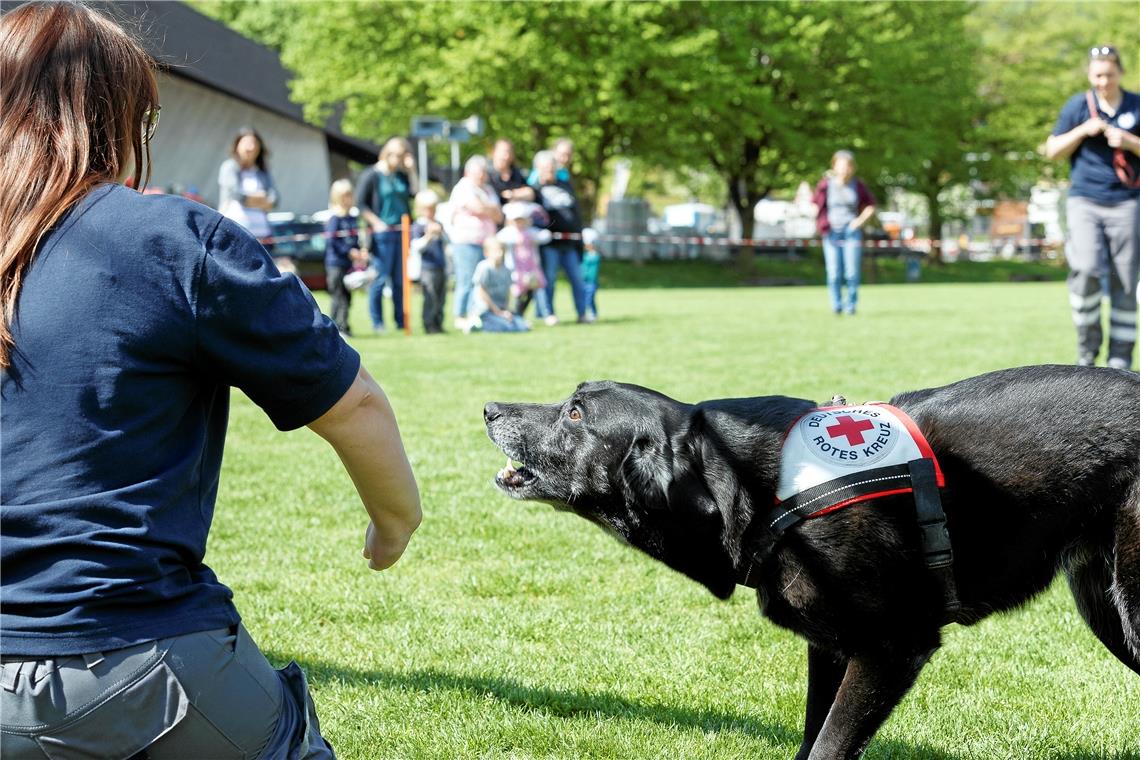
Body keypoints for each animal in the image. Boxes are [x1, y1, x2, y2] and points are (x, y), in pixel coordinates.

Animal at [485, 364, 1140, 756]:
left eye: (575, 413)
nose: (490, 408)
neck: (759, 489)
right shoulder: (831, 648)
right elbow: (810, 739)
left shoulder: (891, 649)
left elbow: (827, 746)